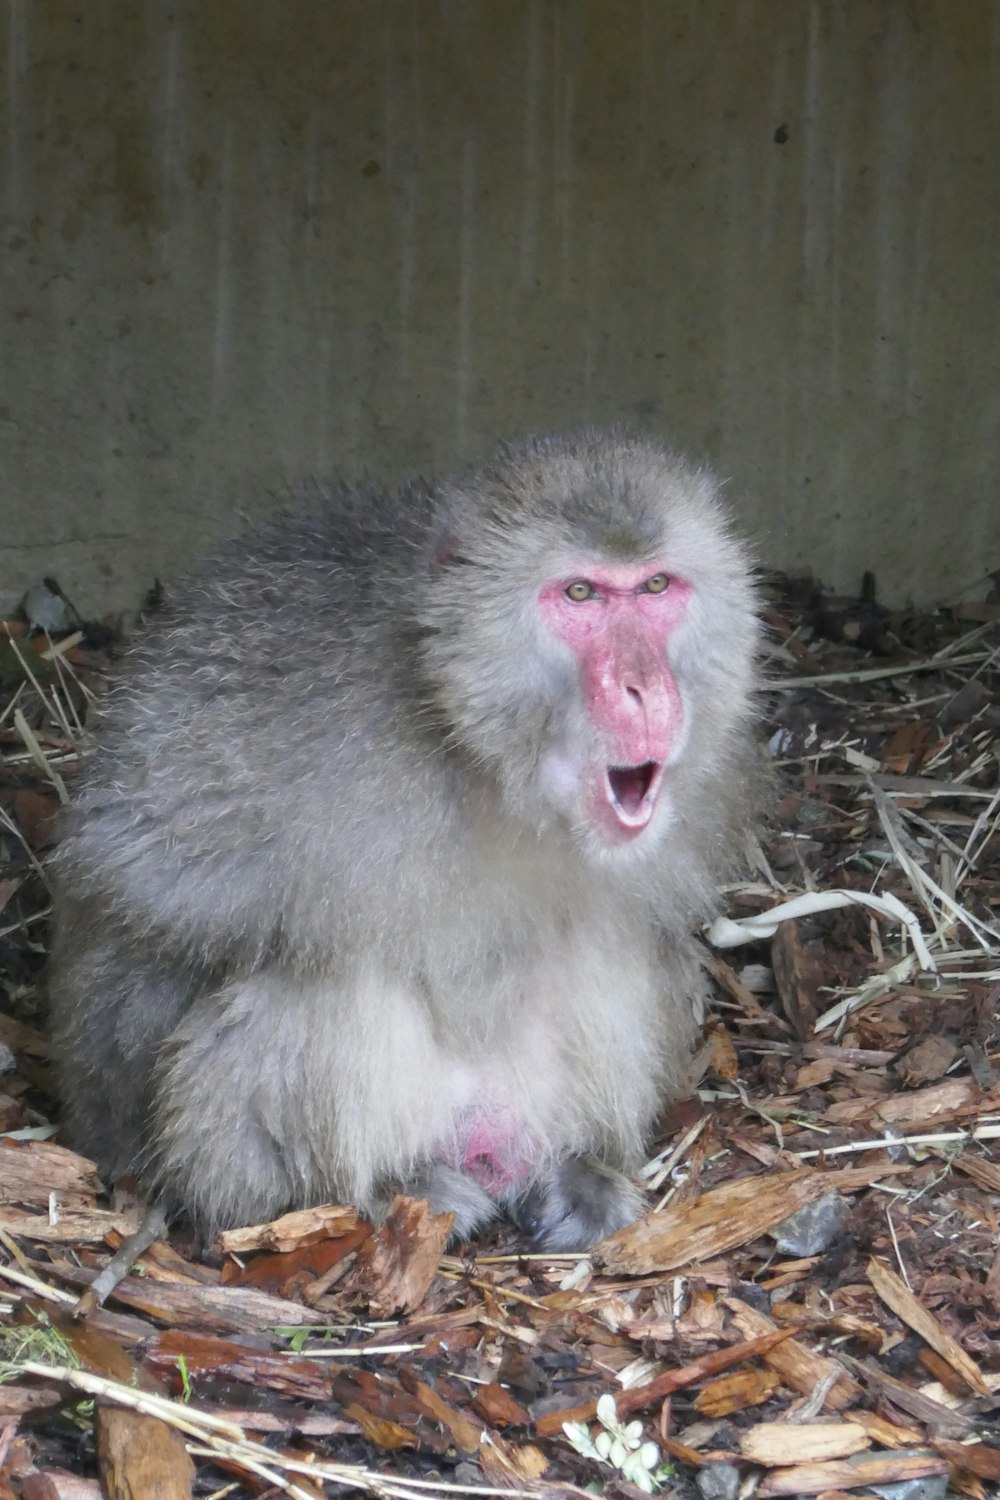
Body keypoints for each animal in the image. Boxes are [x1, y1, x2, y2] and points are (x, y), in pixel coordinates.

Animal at [46, 435, 761, 1254]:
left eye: (655, 586)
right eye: (581, 594)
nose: (647, 690)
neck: (475, 749)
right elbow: (132, 901)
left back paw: (571, 1170)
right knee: (320, 973)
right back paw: (379, 1191)